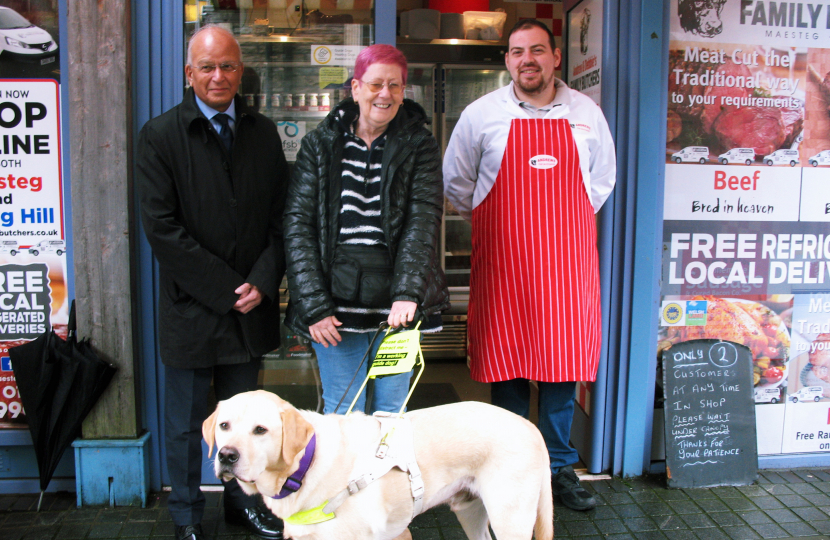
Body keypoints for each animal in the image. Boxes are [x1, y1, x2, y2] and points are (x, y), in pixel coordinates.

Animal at [203, 390, 552, 536]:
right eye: (224, 426)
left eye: (260, 430)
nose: (227, 456)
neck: (306, 465)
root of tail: (531, 426)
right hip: (471, 513)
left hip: (510, 519)